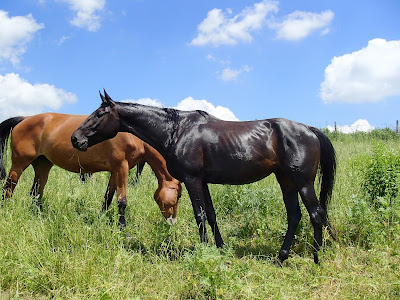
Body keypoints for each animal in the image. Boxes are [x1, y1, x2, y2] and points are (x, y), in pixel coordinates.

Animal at [0, 113, 181, 226]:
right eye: (178, 195)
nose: (172, 222)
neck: (131, 133)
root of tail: (25, 118)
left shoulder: (115, 170)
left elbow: (108, 197)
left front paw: (101, 218)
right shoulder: (122, 167)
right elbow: (121, 200)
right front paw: (123, 229)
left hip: (43, 165)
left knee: (35, 192)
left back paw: (40, 216)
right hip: (19, 164)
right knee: (8, 188)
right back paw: (6, 210)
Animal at [71, 90, 334, 264]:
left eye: (99, 114)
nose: (75, 138)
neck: (176, 130)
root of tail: (310, 130)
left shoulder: (192, 179)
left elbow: (200, 216)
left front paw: (203, 249)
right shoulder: (203, 181)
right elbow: (212, 214)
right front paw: (220, 247)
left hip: (303, 183)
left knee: (316, 214)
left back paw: (316, 258)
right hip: (286, 182)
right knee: (295, 216)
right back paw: (280, 258)